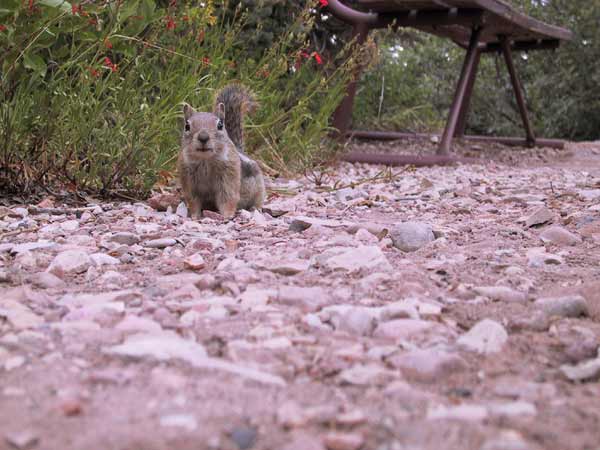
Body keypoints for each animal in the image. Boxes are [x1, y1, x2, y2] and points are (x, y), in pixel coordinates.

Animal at [176, 84, 264, 220]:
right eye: (187, 126)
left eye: (220, 125)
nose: (203, 137)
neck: (205, 160)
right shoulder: (188, 180)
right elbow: (193, 201)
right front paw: (195, 216)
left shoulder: (229, 176)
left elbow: (228, 198)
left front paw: (227, 215)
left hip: (259, 188)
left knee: (258, 200)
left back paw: (255, 208)